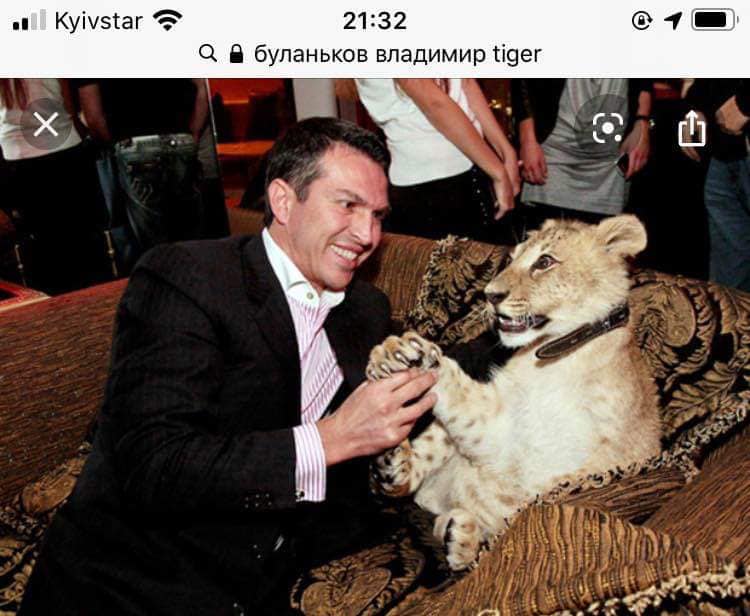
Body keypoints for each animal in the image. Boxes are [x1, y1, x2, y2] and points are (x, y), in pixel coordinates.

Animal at [367, 215, 662, 571]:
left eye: (544, 262)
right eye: (511, 258)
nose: (489, 295)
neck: (547, 354)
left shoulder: (528, 456)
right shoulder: (499, 412)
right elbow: (457, 390)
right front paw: (400, 354)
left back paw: (459, 537)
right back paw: (393, 464)